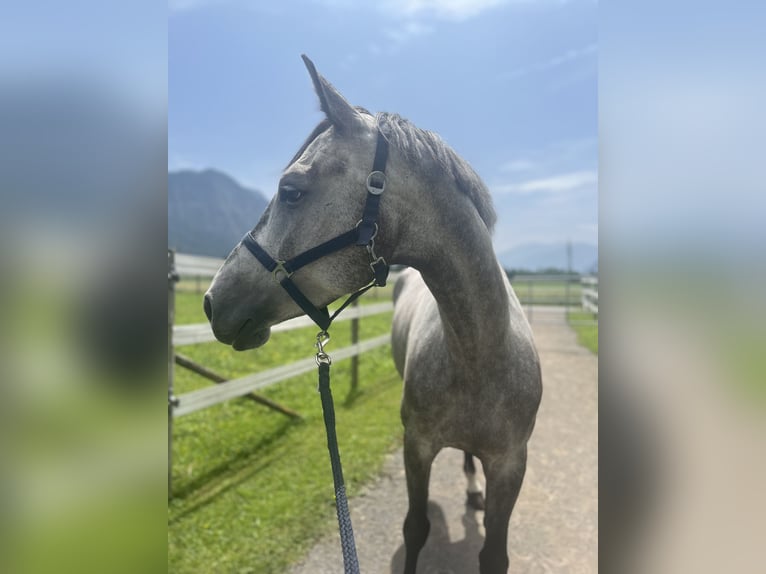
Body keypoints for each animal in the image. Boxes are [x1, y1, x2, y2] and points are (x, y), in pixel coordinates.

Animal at [204, 55, 542, 574]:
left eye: (291, 190)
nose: (211, 300)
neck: (479, 355)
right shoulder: (416, 447)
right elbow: (416, 528)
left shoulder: (510, 465)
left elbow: (493, 552)